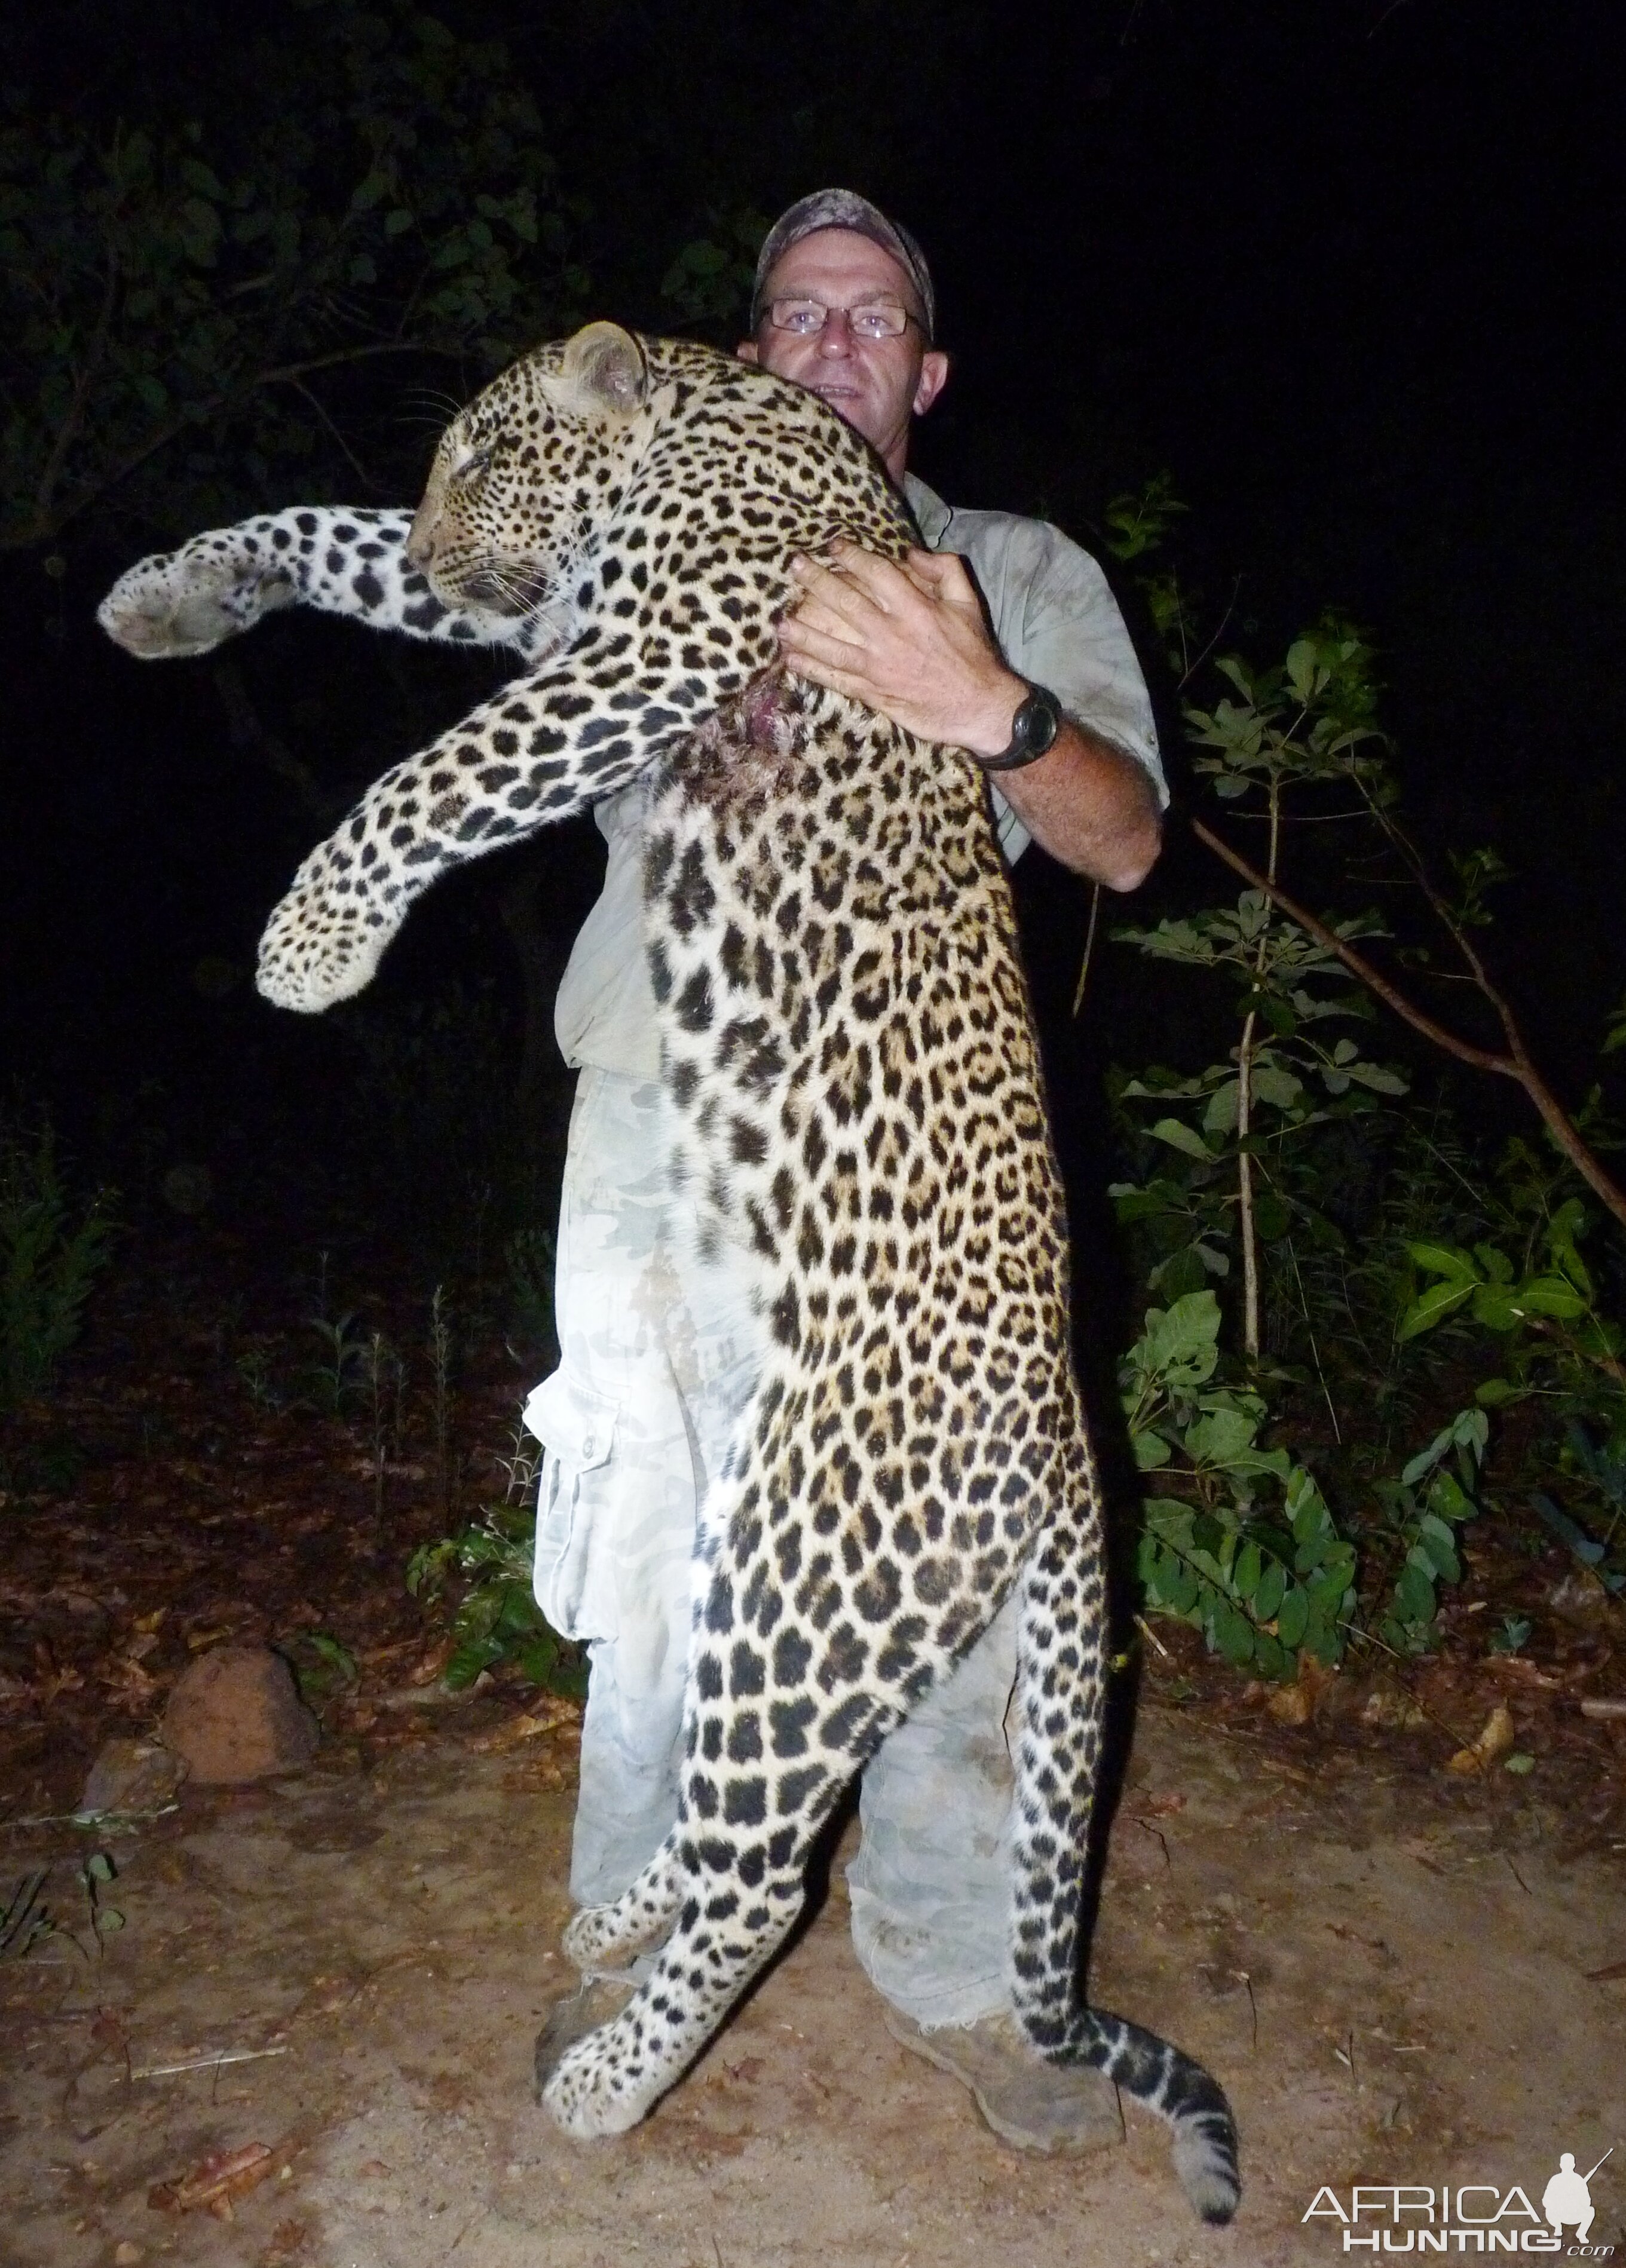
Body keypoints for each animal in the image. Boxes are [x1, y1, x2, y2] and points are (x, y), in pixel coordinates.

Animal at [98, 315, 1242, 2213]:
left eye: (488, 457)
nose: (447, 548)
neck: (700, 416)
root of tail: (1072, 1446)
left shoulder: (651, 645)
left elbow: (437, 771)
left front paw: (311, 943)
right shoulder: (553, 616)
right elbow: (323, 531)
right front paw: (172, 592)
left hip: (805, 1581)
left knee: (767, 1870)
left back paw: (608, 2081)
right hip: (757, 1558)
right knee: (737, 1804)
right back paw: (612, 1927)